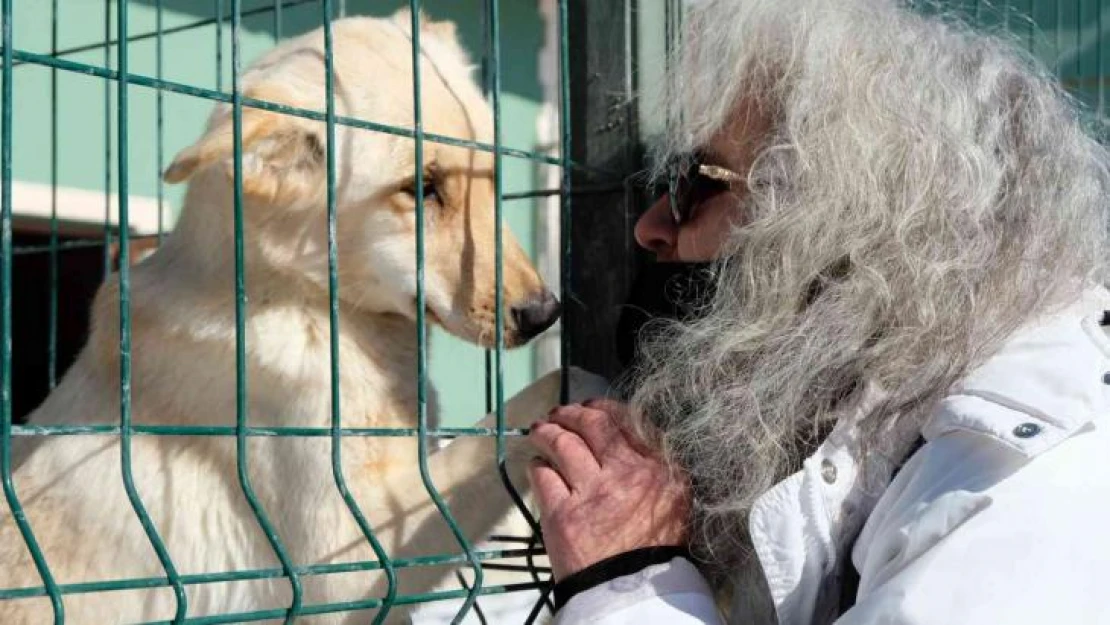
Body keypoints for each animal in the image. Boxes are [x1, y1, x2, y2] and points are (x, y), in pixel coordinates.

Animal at [0, 12, 608, 621]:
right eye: (420, 188)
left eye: (491, 175)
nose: (544, 314)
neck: (304, 302)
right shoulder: (349, 556)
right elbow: (500, 431)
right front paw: (582, 388)